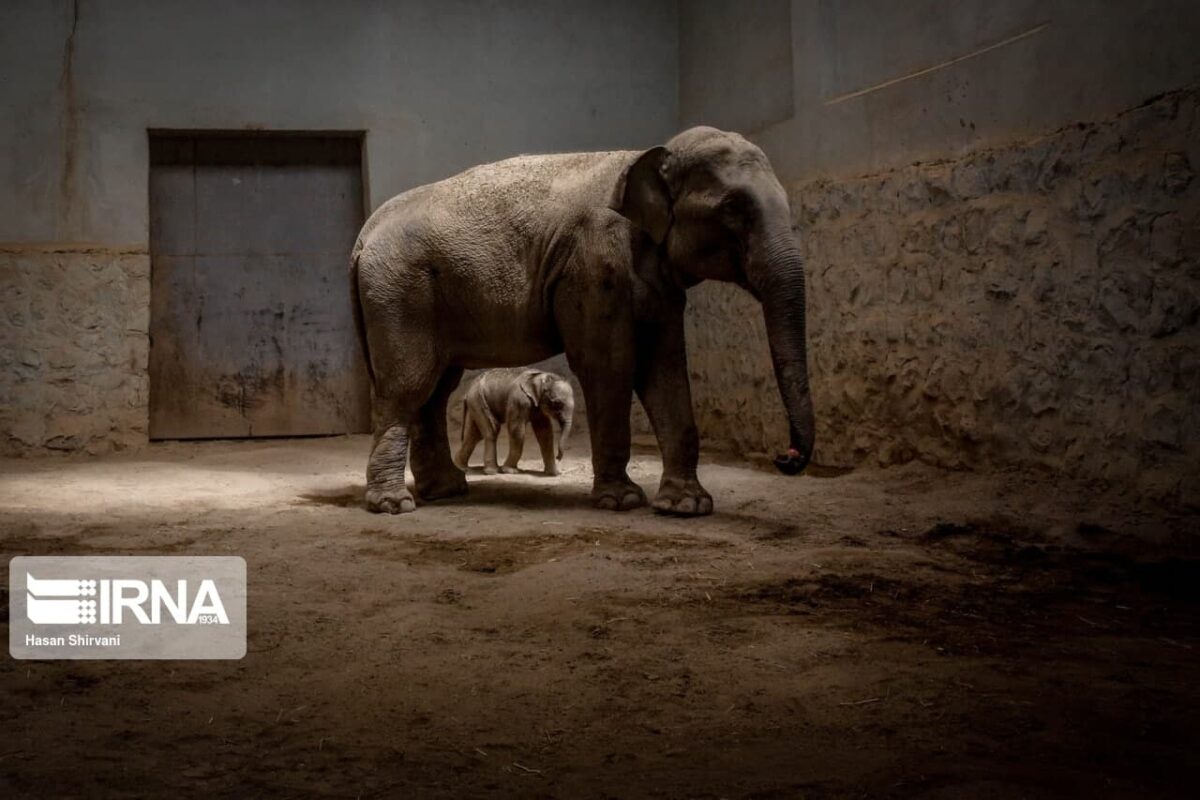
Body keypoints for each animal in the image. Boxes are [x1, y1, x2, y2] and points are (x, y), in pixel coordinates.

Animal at [351, 125, 815, 516]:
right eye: (733, 208)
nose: (785, 457)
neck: (646, 157)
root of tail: (364, 235)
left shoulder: (654, 283)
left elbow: (665, 368)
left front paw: (686, 506)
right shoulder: (594, 263)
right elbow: (608, 366)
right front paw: (622, 501)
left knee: (435, 388)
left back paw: (446, 491)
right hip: (400, 293)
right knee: (408, 387)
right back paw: (395, 505)